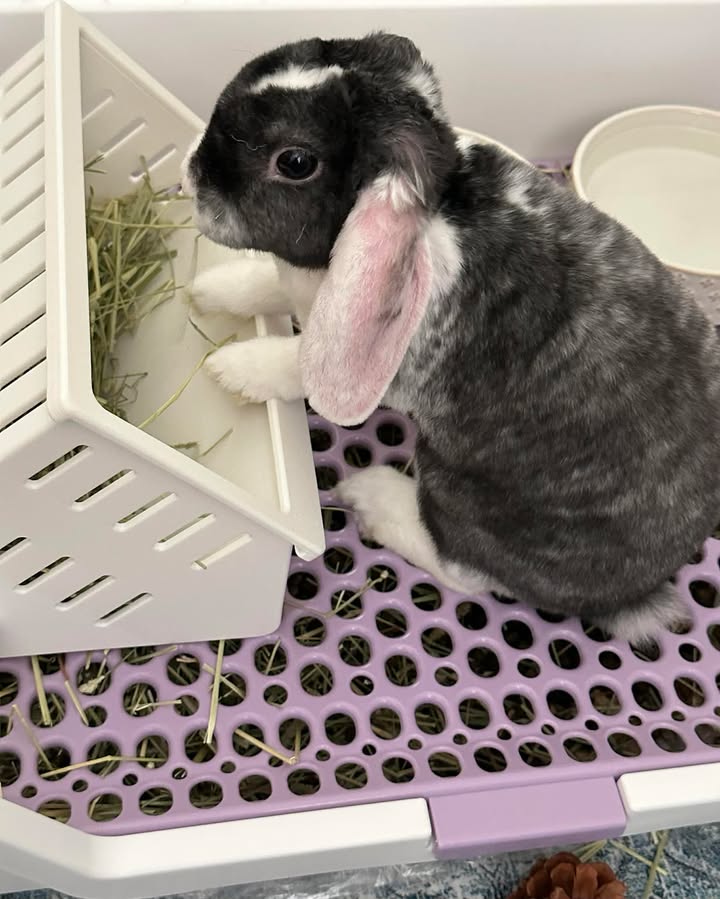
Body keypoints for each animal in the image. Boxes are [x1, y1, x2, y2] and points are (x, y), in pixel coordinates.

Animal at [181, 33, 720, 644]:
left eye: (295, 162)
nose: (191, 173)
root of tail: (636, 593)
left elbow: (297, 363)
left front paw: (231, 369)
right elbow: (267, 286)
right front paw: (210, 290)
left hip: (459, 492)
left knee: (465, 572)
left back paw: (372, 496)